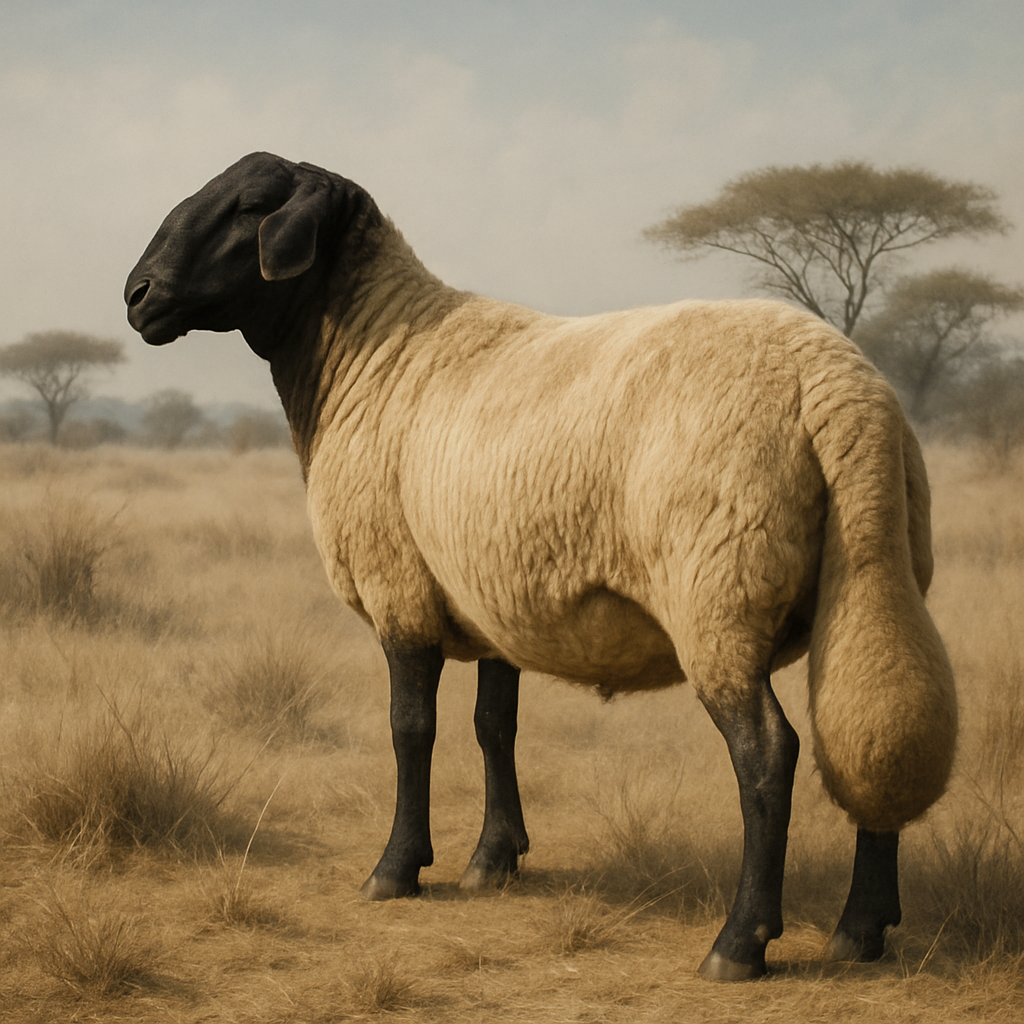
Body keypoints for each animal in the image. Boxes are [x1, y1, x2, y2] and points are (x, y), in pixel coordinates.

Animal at [124, 151, 958, 981]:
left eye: (251, 204)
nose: (138, 295)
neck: (371, 355)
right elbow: (496, 725)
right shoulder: (495, 595)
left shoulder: (398, 589)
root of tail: (842, 391)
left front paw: (396, 870)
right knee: (873, 721)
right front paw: (493, 861)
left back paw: (739, 943)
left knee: (769, 754)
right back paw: (861, 930)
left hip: (719, 595)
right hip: (875, 573)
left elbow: (410, 729)